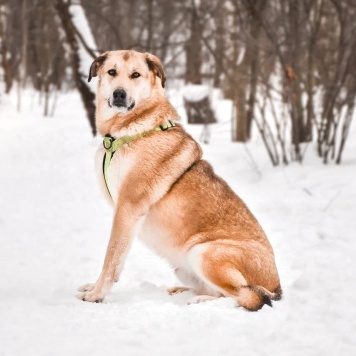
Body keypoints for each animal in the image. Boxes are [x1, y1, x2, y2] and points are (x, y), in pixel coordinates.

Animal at [76, 48, 282, 310]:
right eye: (112, 72)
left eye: (136, 75)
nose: (119, 94)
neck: (127, 132)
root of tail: (278, 287)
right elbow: (116, 259)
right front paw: (94, 287)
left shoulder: (128, 208)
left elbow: (111, 258)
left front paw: (97, 295)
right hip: (184, 266)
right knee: (221, 291)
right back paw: (182, 290)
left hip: (203, 251)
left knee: (243, 296)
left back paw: (199, 300)